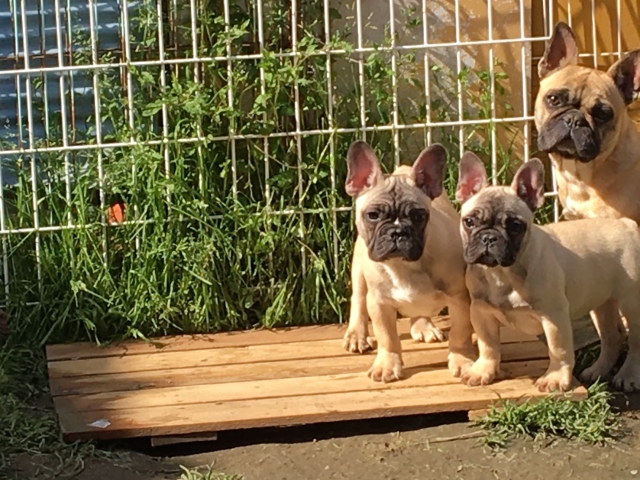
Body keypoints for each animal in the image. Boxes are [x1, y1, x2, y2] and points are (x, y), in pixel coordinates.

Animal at [342, 141, 475, 382]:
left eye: (418, 216)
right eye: (373, 215)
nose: (398, 232)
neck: (404, 266)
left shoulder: (460, 299)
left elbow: (460, 333)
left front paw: (462, 360)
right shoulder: (379, 303)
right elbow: (387, 337)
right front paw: (387, 364)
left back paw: (423, 326)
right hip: (359, 270)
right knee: (358, 299)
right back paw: (357, 335)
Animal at [455, 151, 640, 392]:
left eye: (515, 226)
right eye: (469, 221)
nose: (489, 237)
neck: (502, 273)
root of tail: (627, 224)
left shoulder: (554, 315)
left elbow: (558, 349)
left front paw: (555, 378)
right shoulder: (481, 311)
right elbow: (488, 346)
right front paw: (483, 371)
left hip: (631, 302)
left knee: (635, 340)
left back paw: (628, 375)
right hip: (602, 303)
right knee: (611, 337)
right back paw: (597, 371)